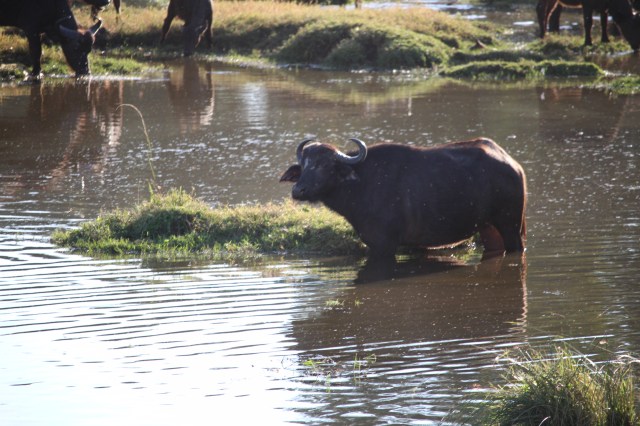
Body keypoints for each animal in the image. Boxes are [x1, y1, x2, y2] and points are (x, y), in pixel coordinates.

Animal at [280, 138, 527, 262]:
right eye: (303, 165)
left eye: (324, 165)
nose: (298, 190)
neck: (361, 183)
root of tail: (514, 166)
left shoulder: (384, 245)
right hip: (488, 228)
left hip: (510, 225)